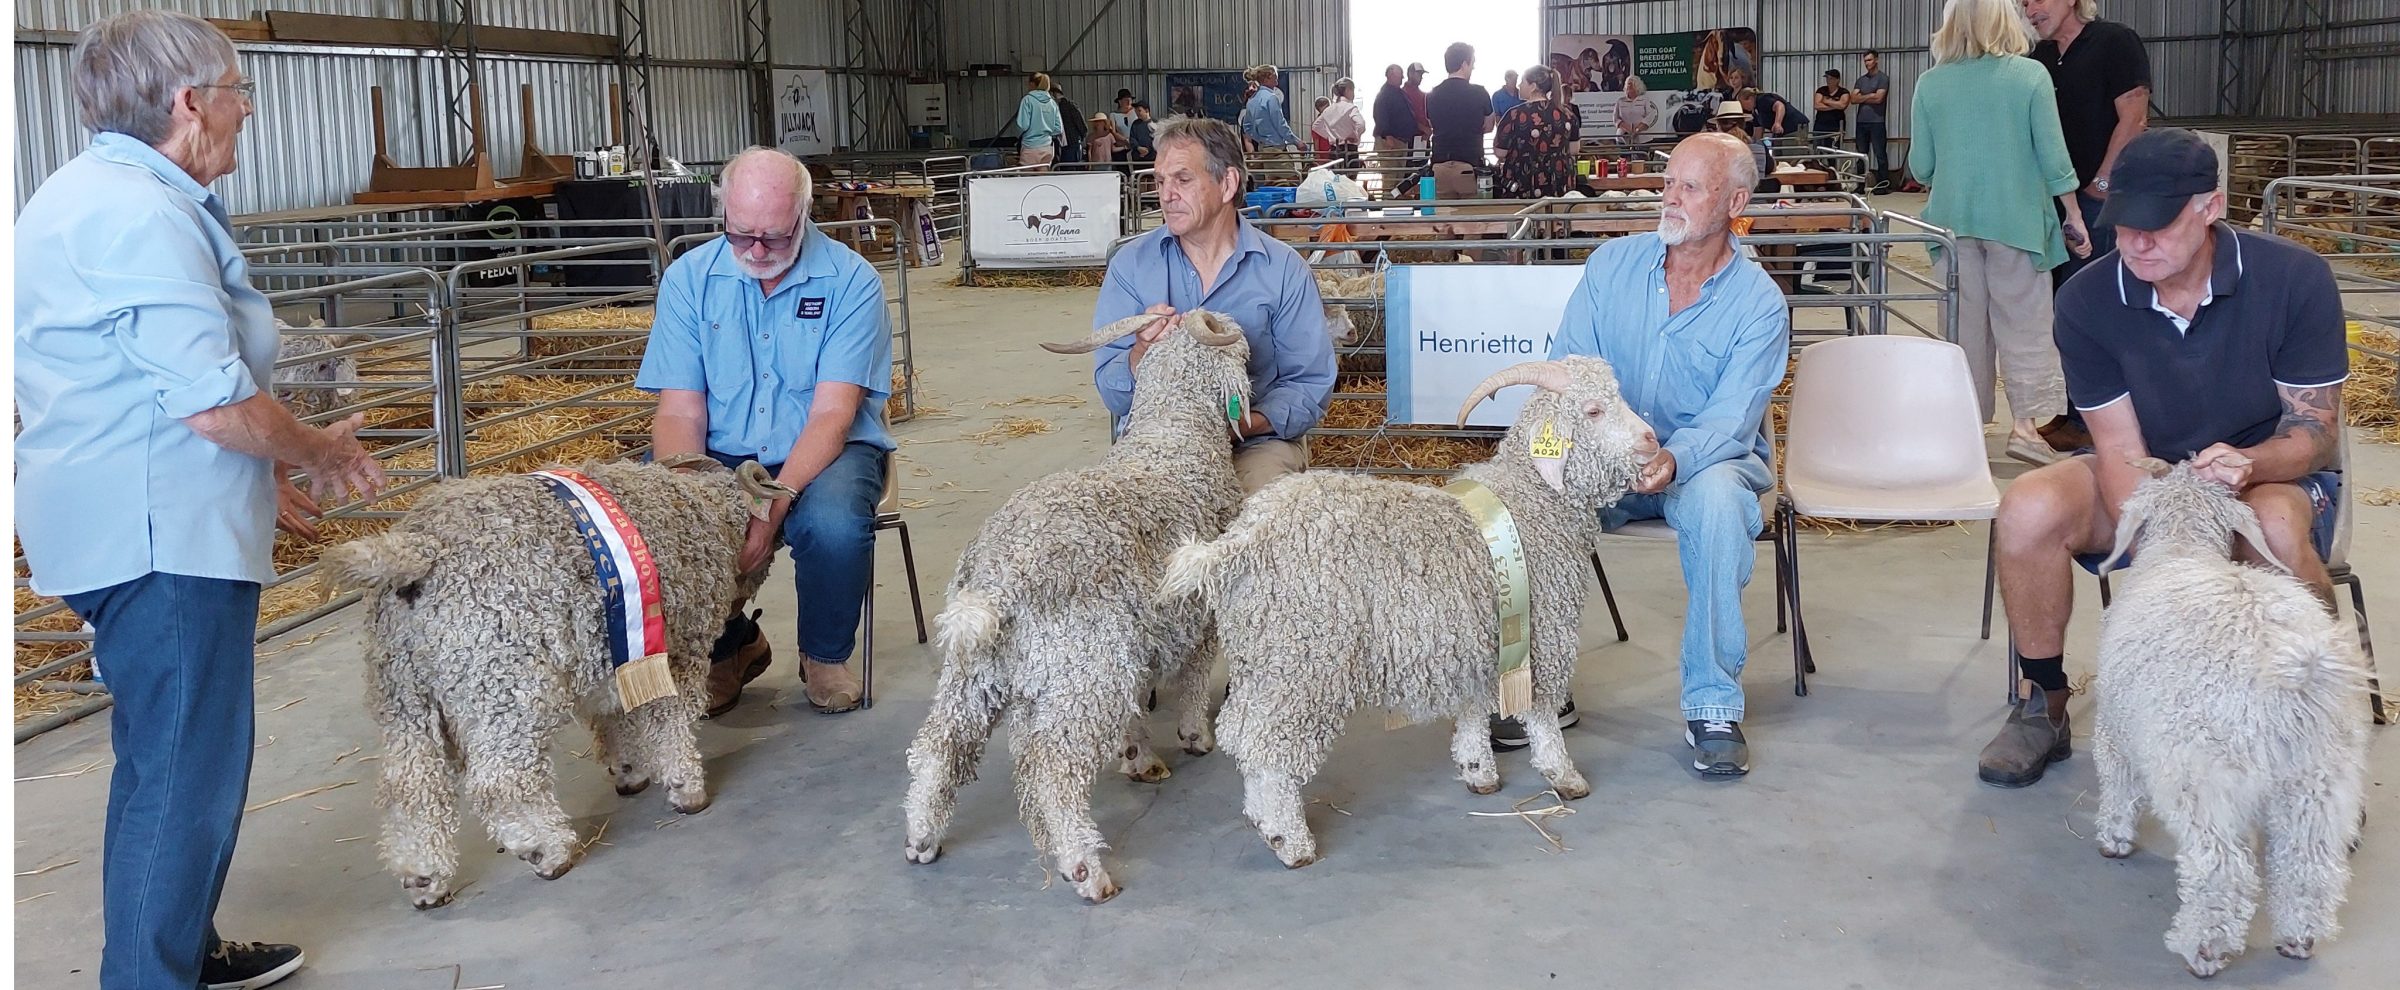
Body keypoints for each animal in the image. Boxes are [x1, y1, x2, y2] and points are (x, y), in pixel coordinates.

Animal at [316, 454, 787, 903]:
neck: (701, 512)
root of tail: (417, 550)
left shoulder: (618, 653)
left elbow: (615, 720)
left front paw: (629, 771)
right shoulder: (677, 649)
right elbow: (669, 722)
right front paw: (686, 789)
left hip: (403, 693)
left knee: (412, 786)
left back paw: (423, 880)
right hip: (503, 683)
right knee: (501, 781)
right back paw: (546, 851)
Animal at [902, 312, 1257, 903]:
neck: (1174, 439)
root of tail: (999, 577)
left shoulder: (1139, 635)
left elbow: (1140, 699)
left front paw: (1138, 755)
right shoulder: (1198, 613)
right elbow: (1192, 675)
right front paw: (1193, 737)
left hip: (978, 670)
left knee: (940, 743)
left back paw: (921, 837)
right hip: (1085, 666)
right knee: (1054, 765)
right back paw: (1086, 870)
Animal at [1156, 358, 1651, 865]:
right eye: (1593, 411)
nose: (1652, 441)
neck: (1530, 502)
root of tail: (1239, 543)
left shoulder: (1478, 637)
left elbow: (1473, 706)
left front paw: (1478, 770)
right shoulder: (1543, 631)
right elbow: (1543, 713)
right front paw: (1563, 776)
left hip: (1264, 657)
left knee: (1241, 732)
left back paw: (1261, 818)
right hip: (1304, 661)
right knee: (1265, 745)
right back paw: (1289, 839)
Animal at [2092, 461, 2371, 980]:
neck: (2181, 548)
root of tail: (2291, 679)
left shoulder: (2114, 731)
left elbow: (2118, 788)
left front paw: (2113, 839)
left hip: (2204, 778)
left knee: (2222, 869)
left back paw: (2203, 949)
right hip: (2318, 780)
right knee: (2308, 862)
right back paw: (2298, 938)